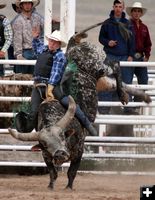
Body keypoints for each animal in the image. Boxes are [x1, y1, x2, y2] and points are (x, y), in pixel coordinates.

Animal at [8, 27, 151, 189]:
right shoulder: (46, 156)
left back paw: (123, 96)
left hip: (98, 66)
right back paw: (136, 96)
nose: (60, 154)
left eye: (62, 136)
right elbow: (52, 172)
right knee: (115, 77)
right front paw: (51, 186)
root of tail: (72, 45)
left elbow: (72, 171)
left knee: (115, 64)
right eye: (45, 144)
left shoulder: (80, 150)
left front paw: (69, 187)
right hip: (101, 79)